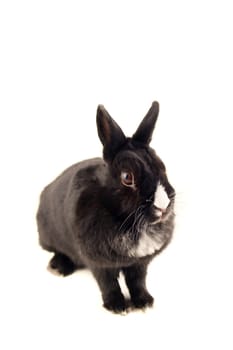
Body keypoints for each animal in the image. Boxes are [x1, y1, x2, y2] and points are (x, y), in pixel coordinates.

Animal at [36, 100, 175, 312]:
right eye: (127, 177)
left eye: (162, 167)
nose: (163, 205)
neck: (132, 224)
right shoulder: (99, 263)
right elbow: (108, 284)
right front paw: (117, 306)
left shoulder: (140, 263)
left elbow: (137, 281)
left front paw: (144, 302)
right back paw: (58, 267)